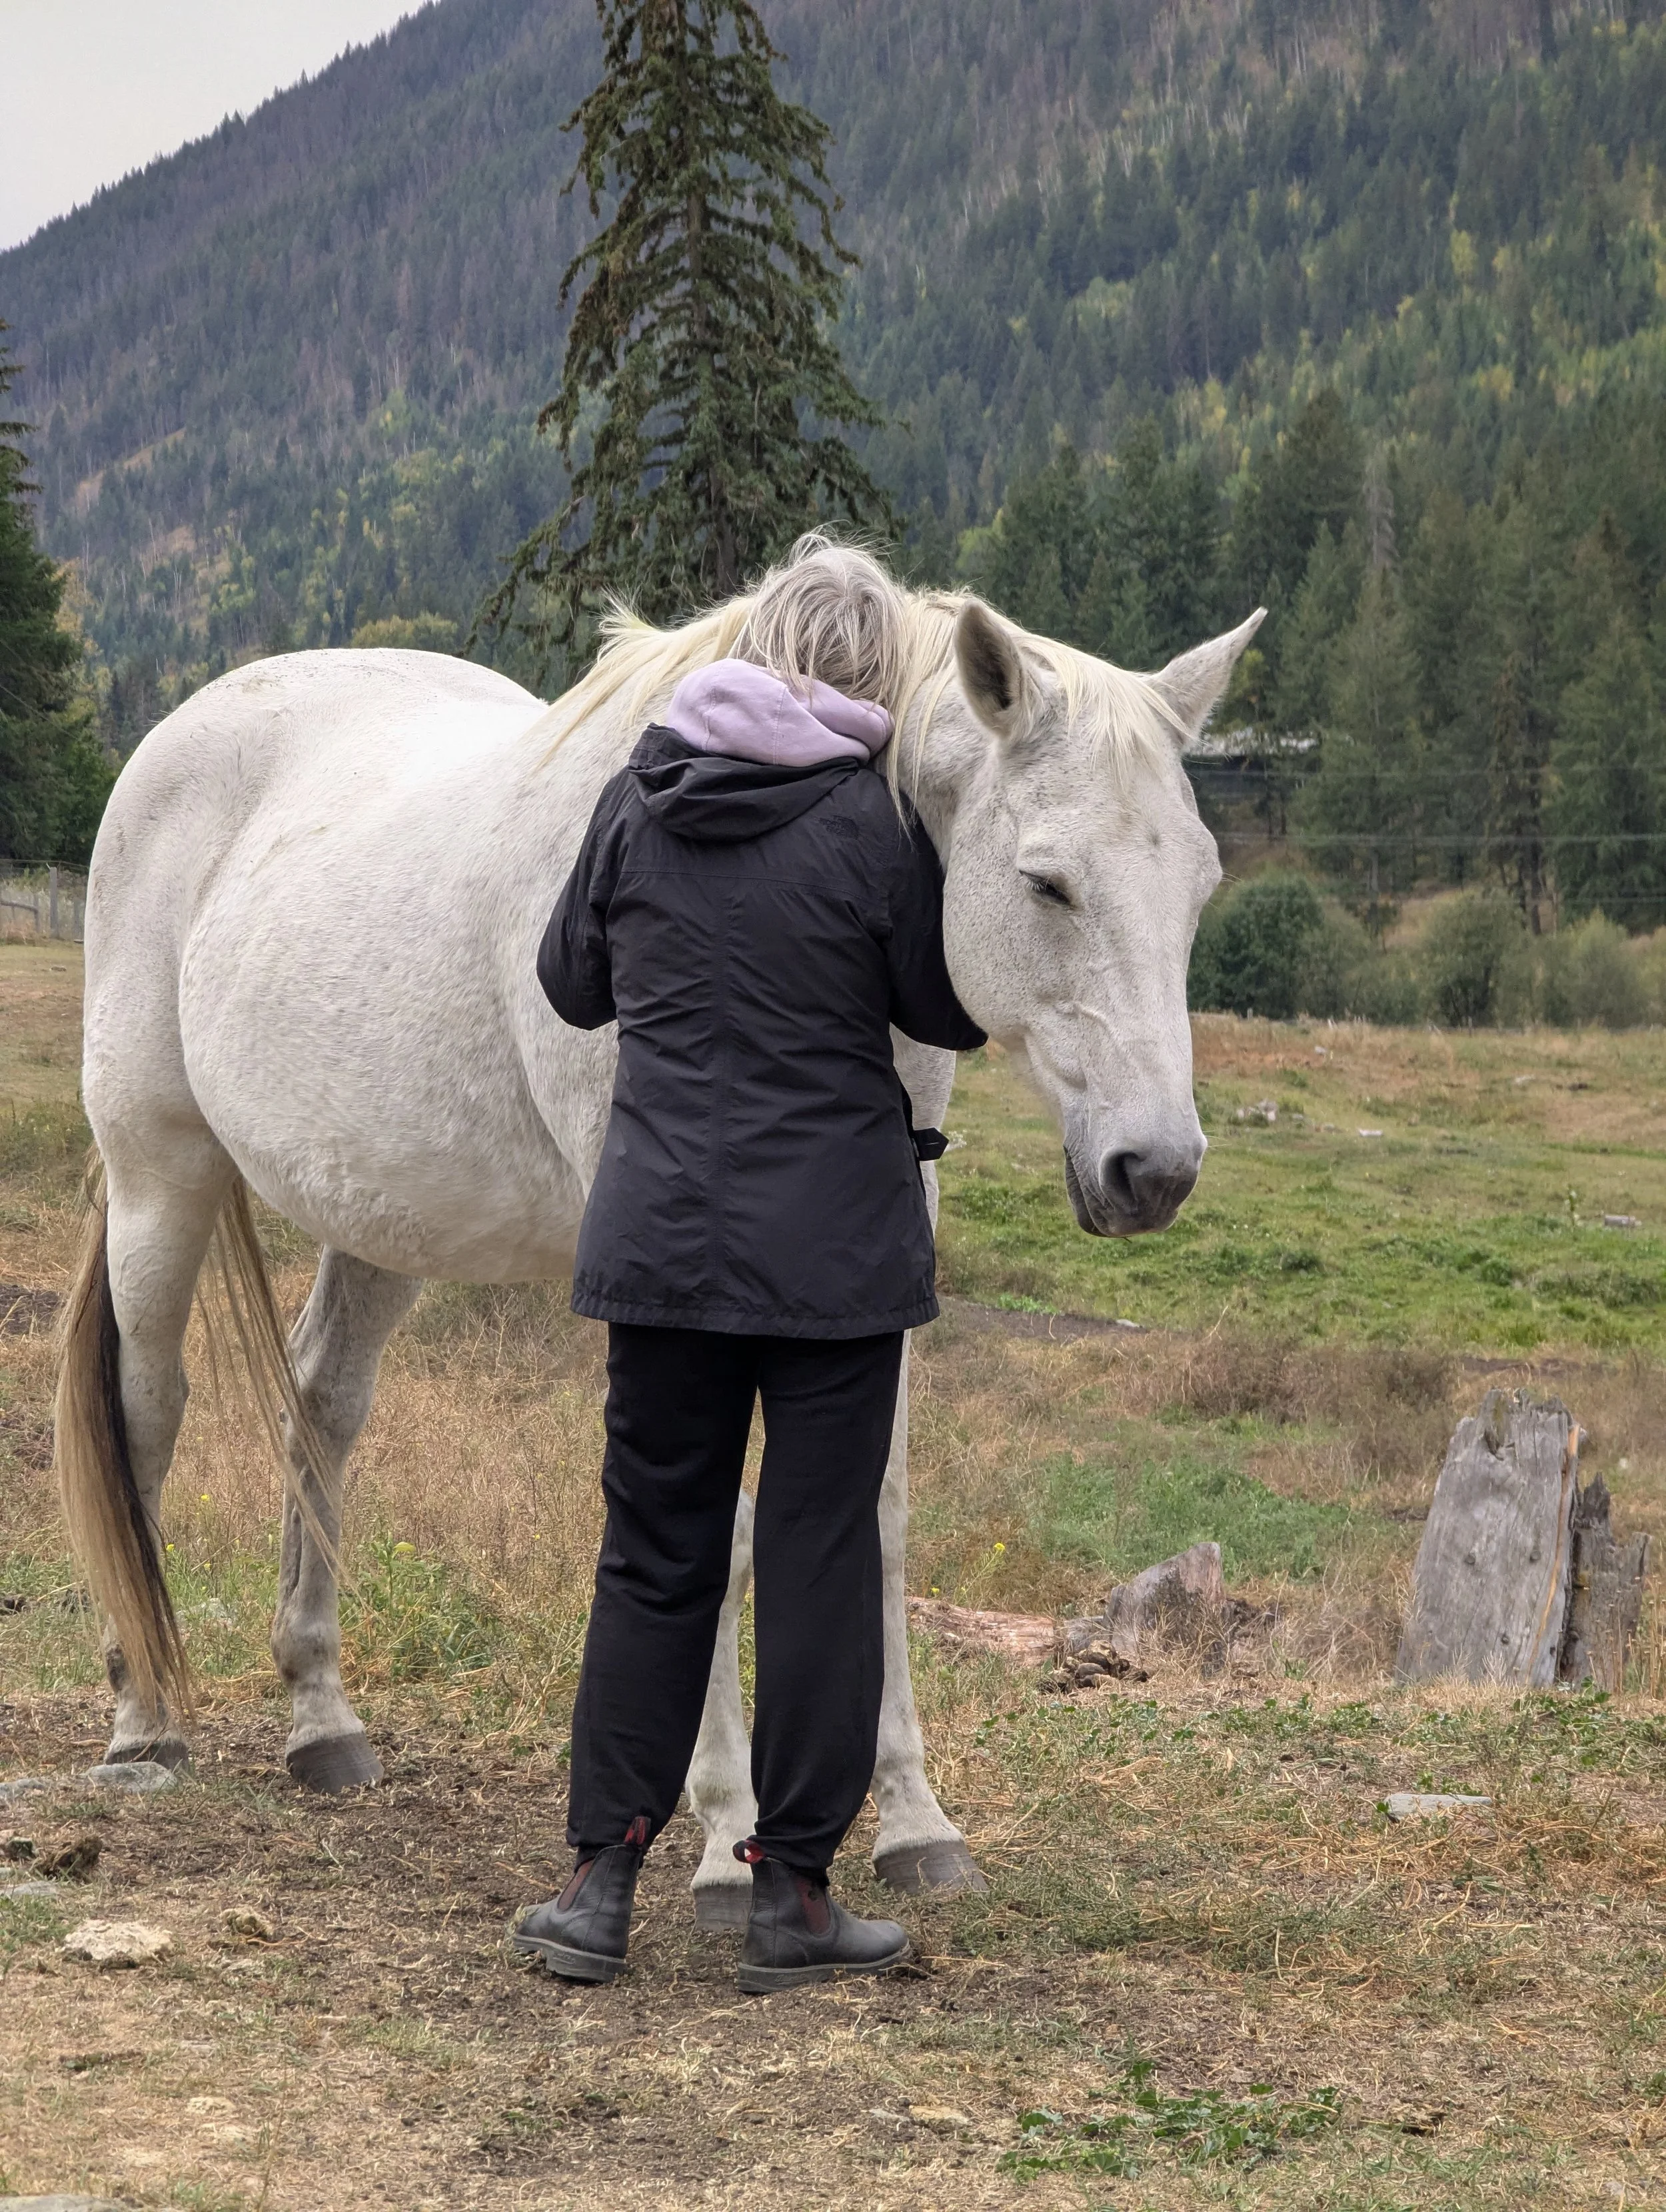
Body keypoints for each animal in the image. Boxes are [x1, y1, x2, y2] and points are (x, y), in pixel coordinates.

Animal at [54, 581, 1260, 1925]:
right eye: (1047, 884)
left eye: (1198, 884)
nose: (1155, 1172)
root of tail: (186, 732)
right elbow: (714, 1532)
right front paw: (727, 1838)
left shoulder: (881, 1258)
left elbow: (878, 1520)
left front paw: (915, 1824)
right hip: (161, 1175)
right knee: (146, 1409)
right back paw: (143, 1722)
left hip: (379, 1214)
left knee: (321, 1405)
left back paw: (321, 1717)